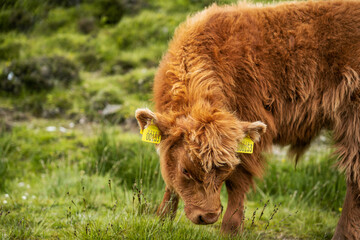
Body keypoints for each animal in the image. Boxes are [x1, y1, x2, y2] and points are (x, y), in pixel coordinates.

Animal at [135, 1, 360, 238]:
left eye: (225, 169)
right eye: (185, 170)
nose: (209, 216)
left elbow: (237, 183)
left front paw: (230, 230)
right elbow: (169, 179)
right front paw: (162, 219)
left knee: (354, 178)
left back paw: (342, 234)